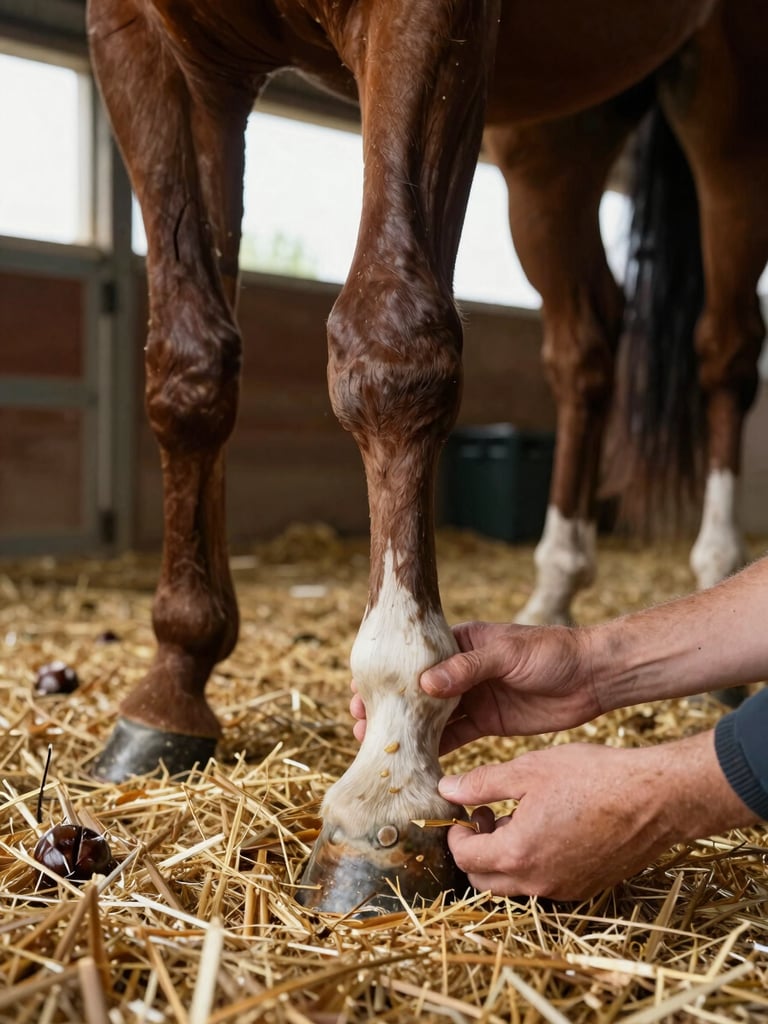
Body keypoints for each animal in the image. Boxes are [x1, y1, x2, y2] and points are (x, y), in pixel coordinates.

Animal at [85, 0, 765, 913]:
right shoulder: (154, 49)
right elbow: (189, 369)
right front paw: (174, 681)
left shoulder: (422, 22)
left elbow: (391, 343)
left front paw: (391, 775)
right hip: (556, 139)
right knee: (584, 346)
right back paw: (555, 587)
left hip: (728, 105)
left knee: (725, 350)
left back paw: (715, 563)